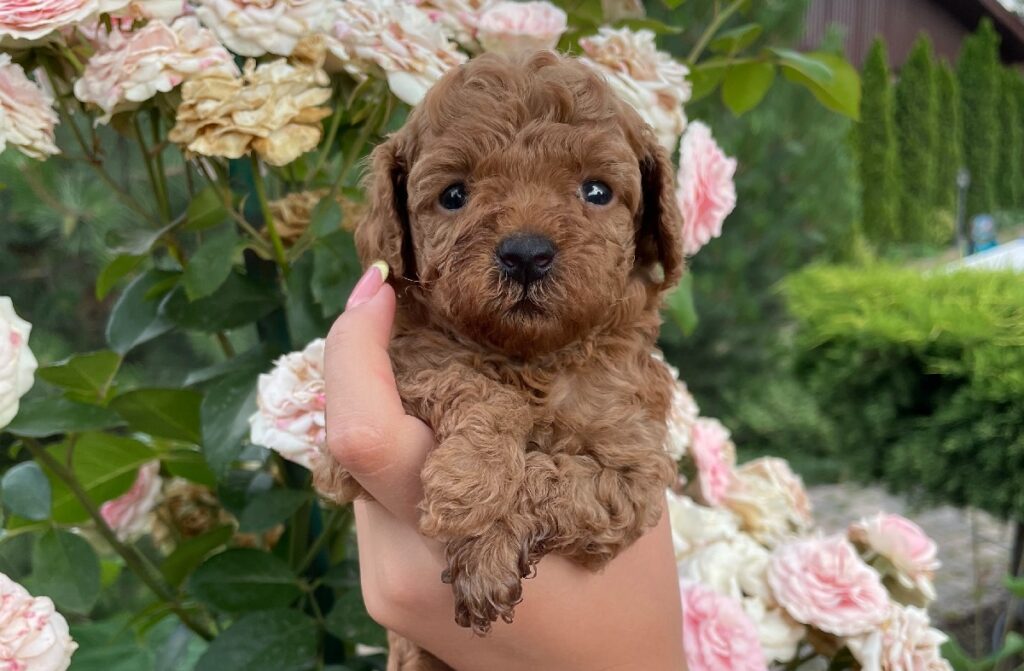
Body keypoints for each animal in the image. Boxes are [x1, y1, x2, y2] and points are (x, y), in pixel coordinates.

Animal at [317, 51, 688, 667]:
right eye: (453, 196)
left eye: (596, 191)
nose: (526, 254)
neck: (530, 358)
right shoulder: (367, 415)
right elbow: (468, 383)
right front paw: (471, 480)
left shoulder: (633, 471)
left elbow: (552, 477)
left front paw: (486, 550)